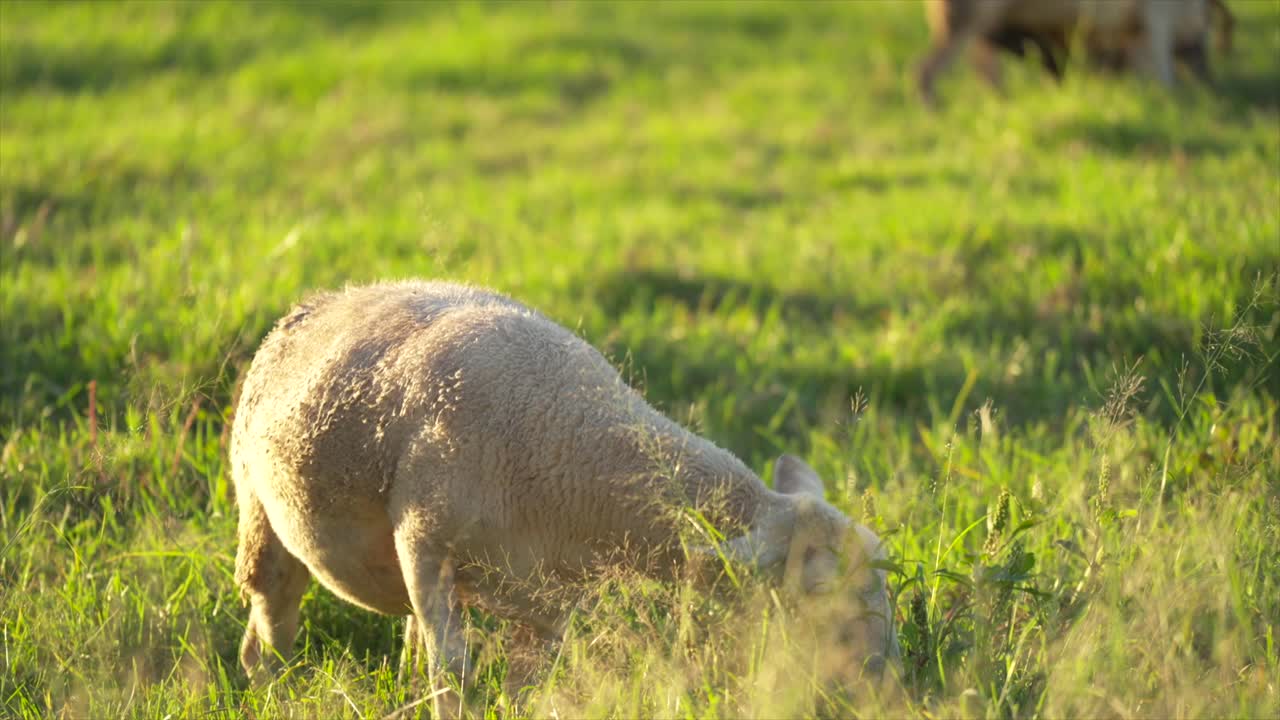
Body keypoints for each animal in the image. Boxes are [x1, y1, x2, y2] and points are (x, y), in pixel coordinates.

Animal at [231, 280, 899, 705]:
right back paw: (272, 695)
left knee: (404, 643)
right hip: (259, 514)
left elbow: (523, 686)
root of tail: (327, 299)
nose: (886, 684)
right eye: (818, 596)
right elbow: (455, 676)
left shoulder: (550, 598)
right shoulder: (425, 546)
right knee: (269, 630)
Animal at [918, 0, 1217, 105]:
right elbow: (1159, 71)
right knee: (925, 69)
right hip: (967, 22)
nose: (1206, 78)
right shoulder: (1155, 22)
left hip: (979, 26)